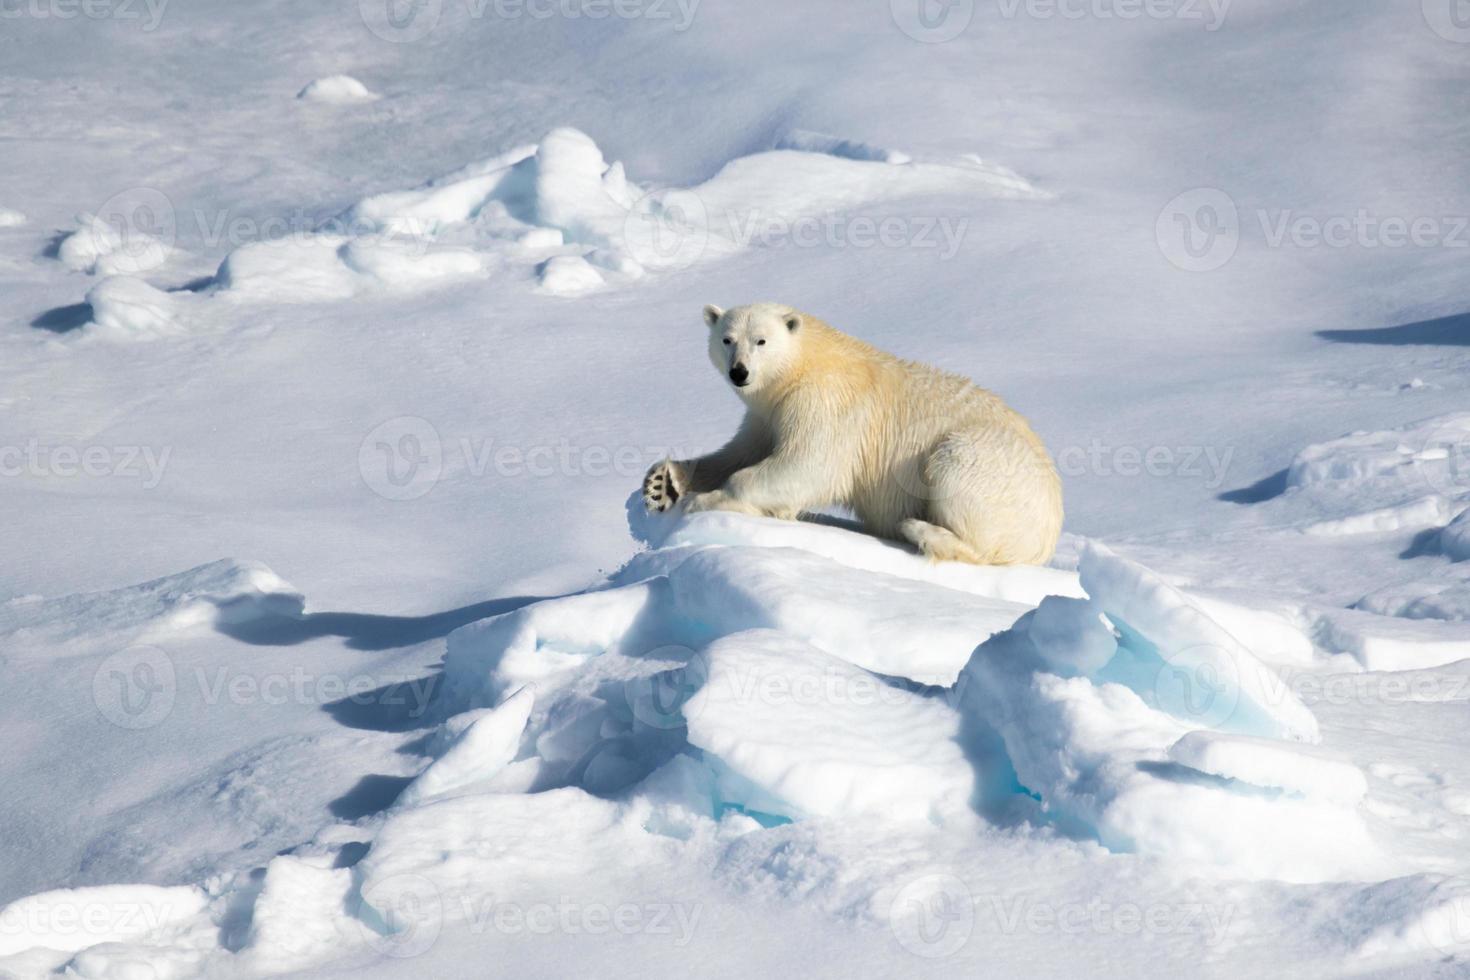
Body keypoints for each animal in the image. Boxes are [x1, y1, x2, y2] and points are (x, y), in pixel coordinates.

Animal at [637, 307, 1064, 567]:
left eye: (761, 340)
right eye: (726, 339)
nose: (739, 372)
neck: (805, 362)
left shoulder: (823, 402)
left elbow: (808, 464)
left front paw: (707, 501)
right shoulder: (767, 413)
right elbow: (742, 450)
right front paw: (662, 483)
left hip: (985, 466)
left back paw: (919, 529)